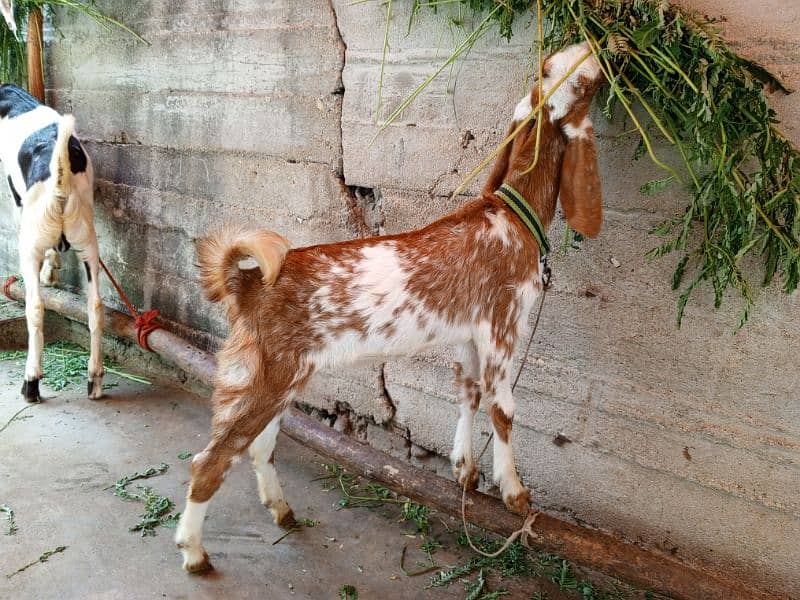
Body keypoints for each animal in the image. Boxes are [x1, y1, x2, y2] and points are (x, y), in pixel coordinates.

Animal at [178, 41, 604, 572]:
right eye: (580, 80)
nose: (594, 47)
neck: (511, 213)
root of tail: (247, 283)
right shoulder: (502, 329)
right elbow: (503, 408)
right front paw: (514, 493)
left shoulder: (467, 337)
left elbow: (468, 394)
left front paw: (464, 471)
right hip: (263, 381)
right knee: (209, 462)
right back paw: (195, 552)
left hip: (274, 381)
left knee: (258, 449)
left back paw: (282, 511)